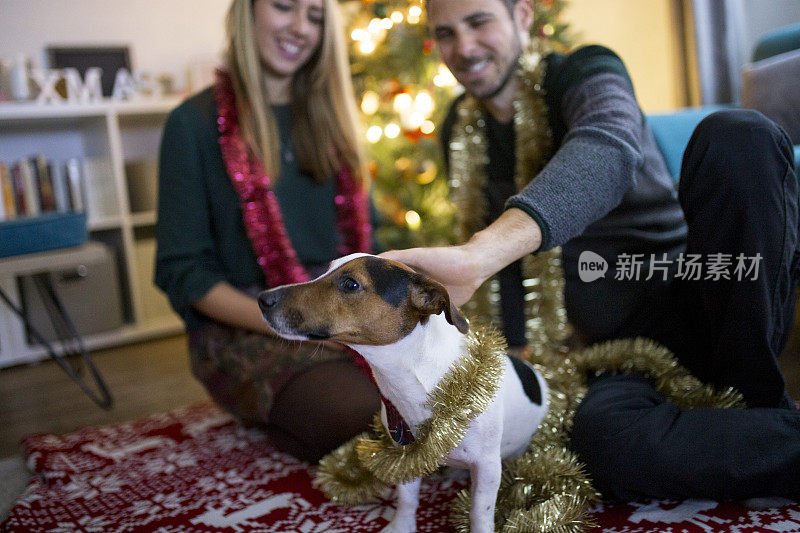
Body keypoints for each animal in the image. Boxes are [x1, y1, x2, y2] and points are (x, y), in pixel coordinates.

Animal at [260, 254, 548, 532]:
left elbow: (480, 513)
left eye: (350, 284)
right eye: (325, 270)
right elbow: (407, 500)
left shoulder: (487, 467)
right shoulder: (405, 455)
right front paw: (402, 526)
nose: (263, 299)